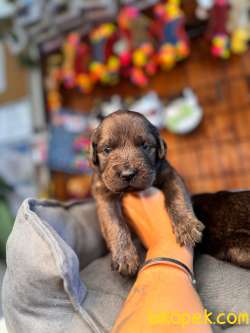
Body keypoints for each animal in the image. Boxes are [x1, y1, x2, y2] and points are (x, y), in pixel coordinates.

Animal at [91, 111, 204, 274]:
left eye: (145, 146)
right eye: (107, 149)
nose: (128, 174)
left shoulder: (169, 174)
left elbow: (177, 197)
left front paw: (186, 226)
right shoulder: (103, 194)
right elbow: (114, 223)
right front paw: (125, 256)